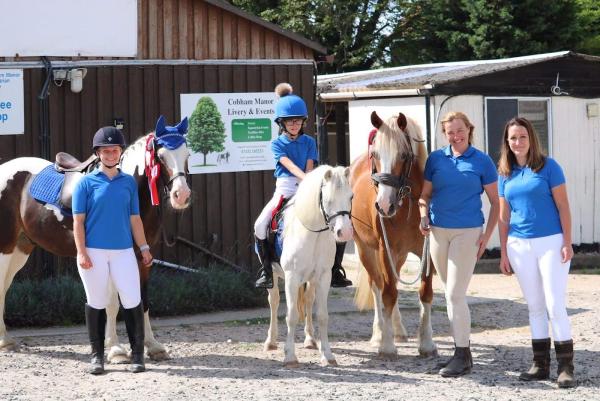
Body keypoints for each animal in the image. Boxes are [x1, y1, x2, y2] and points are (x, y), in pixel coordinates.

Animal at [264, 165, 354, 366]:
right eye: (328, 199)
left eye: (351, 197)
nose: (344, 233)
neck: (313, 233)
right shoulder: (291, 277)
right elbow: (291, 315)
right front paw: (290, 356)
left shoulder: (324, 277)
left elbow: (322, 315)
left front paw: (327, 355)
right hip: (273, 276)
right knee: (274, 302)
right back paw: (271, 342)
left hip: (311, 281)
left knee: (308, 301)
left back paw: (311, 340)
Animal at [352, 110, 436, 356]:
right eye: (375, 154)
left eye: (404, 155)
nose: (384, 205)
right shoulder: (384, 249)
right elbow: (387, 293)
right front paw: (387, 345)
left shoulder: (426, 250)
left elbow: (425, 292)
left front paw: (426, 343)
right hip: (365, 250)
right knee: (377, 286)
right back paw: (379, 334)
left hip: (399, 255)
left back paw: (398, 330)